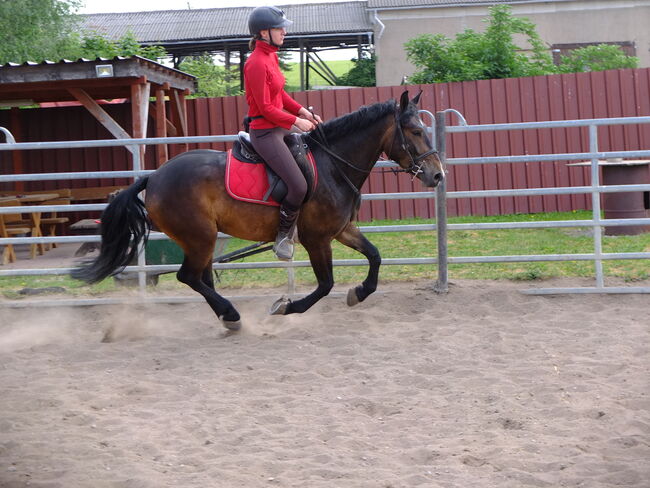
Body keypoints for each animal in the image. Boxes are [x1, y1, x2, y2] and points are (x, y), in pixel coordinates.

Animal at [72, 89, 446, 330]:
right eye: (415, 131)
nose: (438, 175)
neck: (332, 165)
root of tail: (154, 177)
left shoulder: (341, 230)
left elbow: (375, 256)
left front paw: (359, 293)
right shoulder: (316, 239)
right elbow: (325, 284)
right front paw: (286, 307)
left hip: (202, 239)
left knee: (200, 277)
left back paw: (226, 317)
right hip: (200, 236)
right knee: (188, 276)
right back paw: (231, 315)